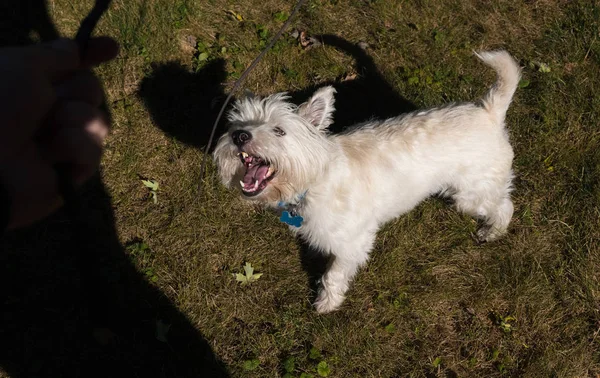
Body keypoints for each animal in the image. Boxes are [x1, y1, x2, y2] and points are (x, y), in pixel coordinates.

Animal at [216, 49, 520, 314]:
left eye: (279, 130)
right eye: (235, 124)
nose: (239, 136)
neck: (315, 180)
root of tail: (489, 110)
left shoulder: (354, 242)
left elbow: (334, 275)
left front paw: (327, 303)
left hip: (471, 195)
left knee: (505, 205)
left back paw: (491, 232)